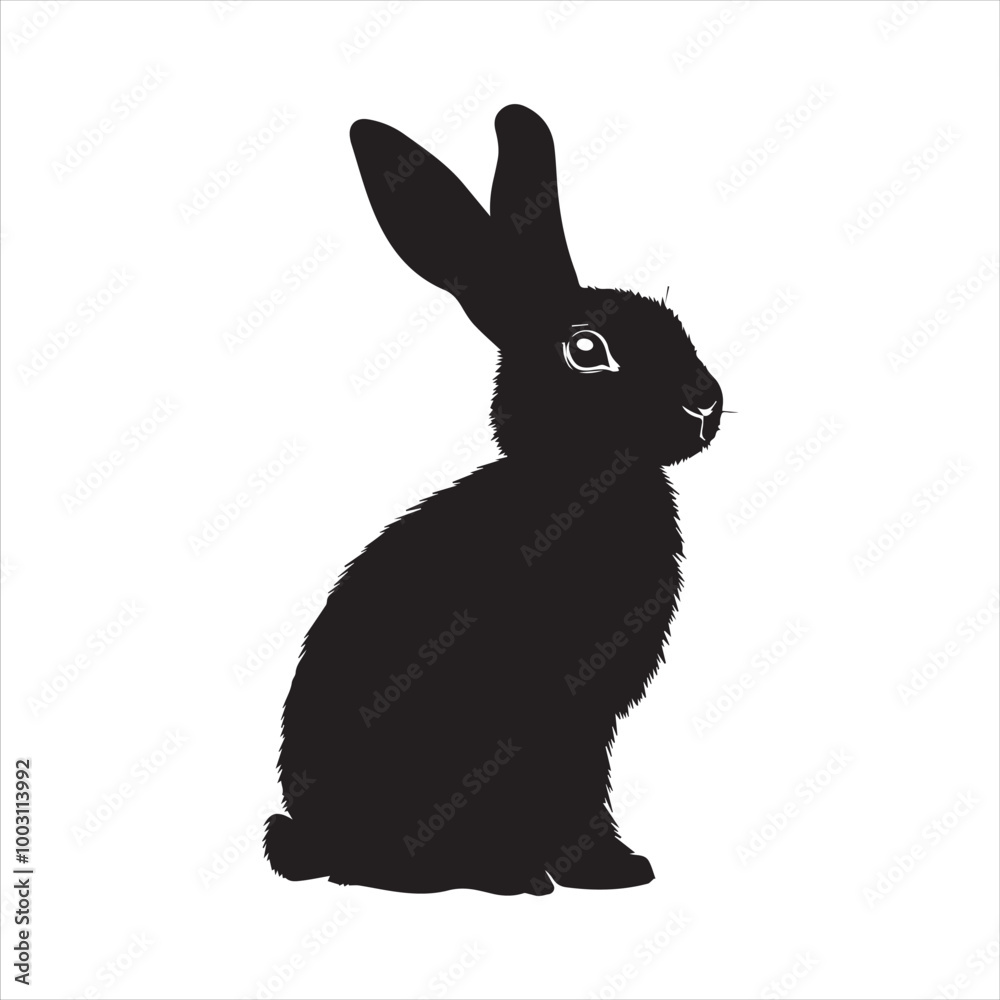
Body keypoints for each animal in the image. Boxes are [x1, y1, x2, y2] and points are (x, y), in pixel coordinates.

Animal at [264, 104, 723, 895]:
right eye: (587, 349)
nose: (705, 403)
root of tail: (312, 835)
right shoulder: (548, 710)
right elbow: (568, 787)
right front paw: (593, 870)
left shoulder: (588, 724)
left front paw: (613, 869)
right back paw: (499, 874)